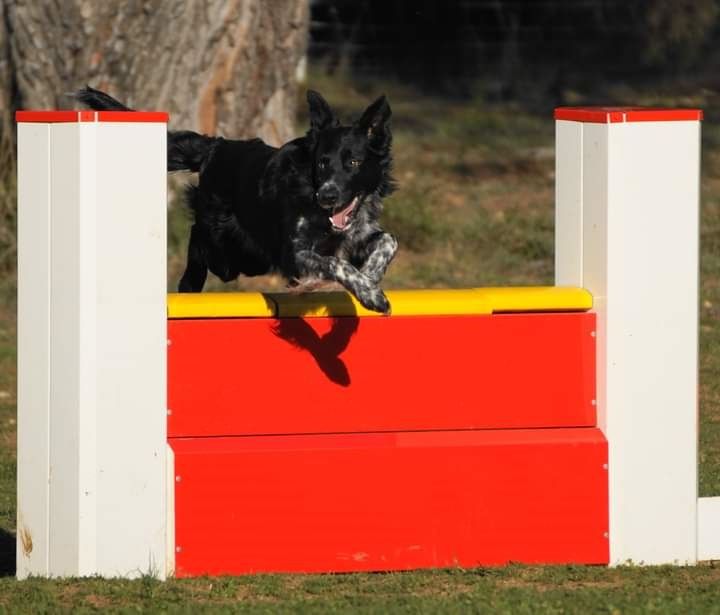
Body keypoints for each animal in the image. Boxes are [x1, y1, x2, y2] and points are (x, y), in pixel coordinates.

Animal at [75, 86, 400, 312]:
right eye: (322, 163)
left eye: (354, 162)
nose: (327, 196)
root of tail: (215, 146)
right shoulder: (292, 254)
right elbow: (333, 262)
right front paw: (370, 294)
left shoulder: (356, 235)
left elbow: (388, 240)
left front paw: (370, 277)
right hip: (231, 252)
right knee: (199, 241)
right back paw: (189, 281)